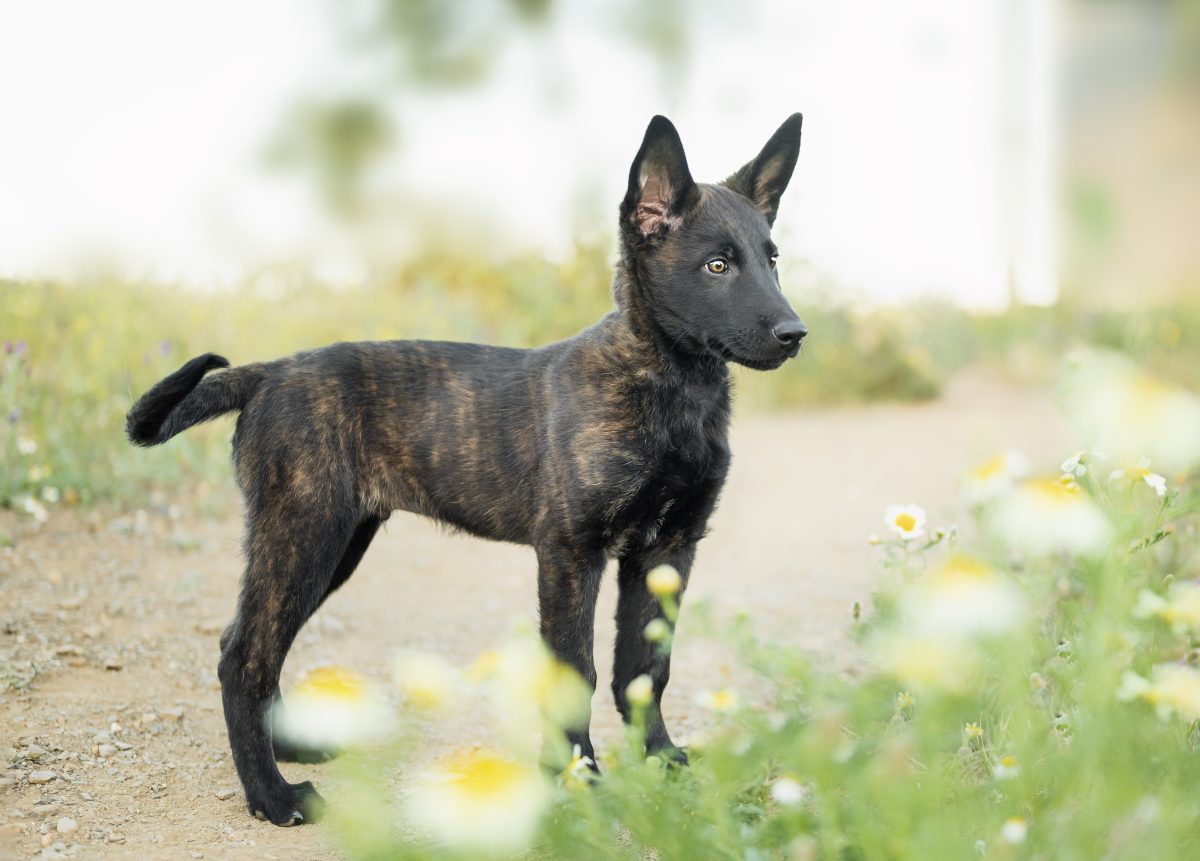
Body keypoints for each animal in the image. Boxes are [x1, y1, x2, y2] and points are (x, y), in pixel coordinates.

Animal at [124, 111, 806, 825]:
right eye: (717, 264)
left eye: (773, 259)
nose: (796, 334)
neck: (669, 387)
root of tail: (269, 373)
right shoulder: (571, 552)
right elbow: (578, 672)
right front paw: (576, 780)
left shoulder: (668, 549)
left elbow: (646, 669)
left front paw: (662, 761)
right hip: (303, 534)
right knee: (244, 656)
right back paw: (273, 796)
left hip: (332, 545)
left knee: (258, 647)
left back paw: (289, 753)